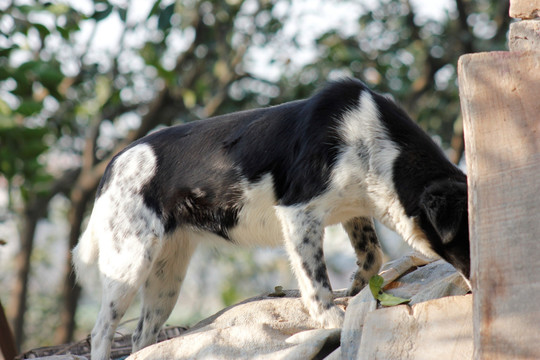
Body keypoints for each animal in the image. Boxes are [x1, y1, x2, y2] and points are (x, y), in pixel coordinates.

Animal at [71, 79, 468, 360]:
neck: (378, 144)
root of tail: (113, 163)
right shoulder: (299, 214)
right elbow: (316, 283)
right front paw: (334, 322)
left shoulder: (354, 211)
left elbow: (372, 256)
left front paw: (356, 290)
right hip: (130, 262)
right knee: (102, 331)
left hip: (166, 274)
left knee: (143, 337)